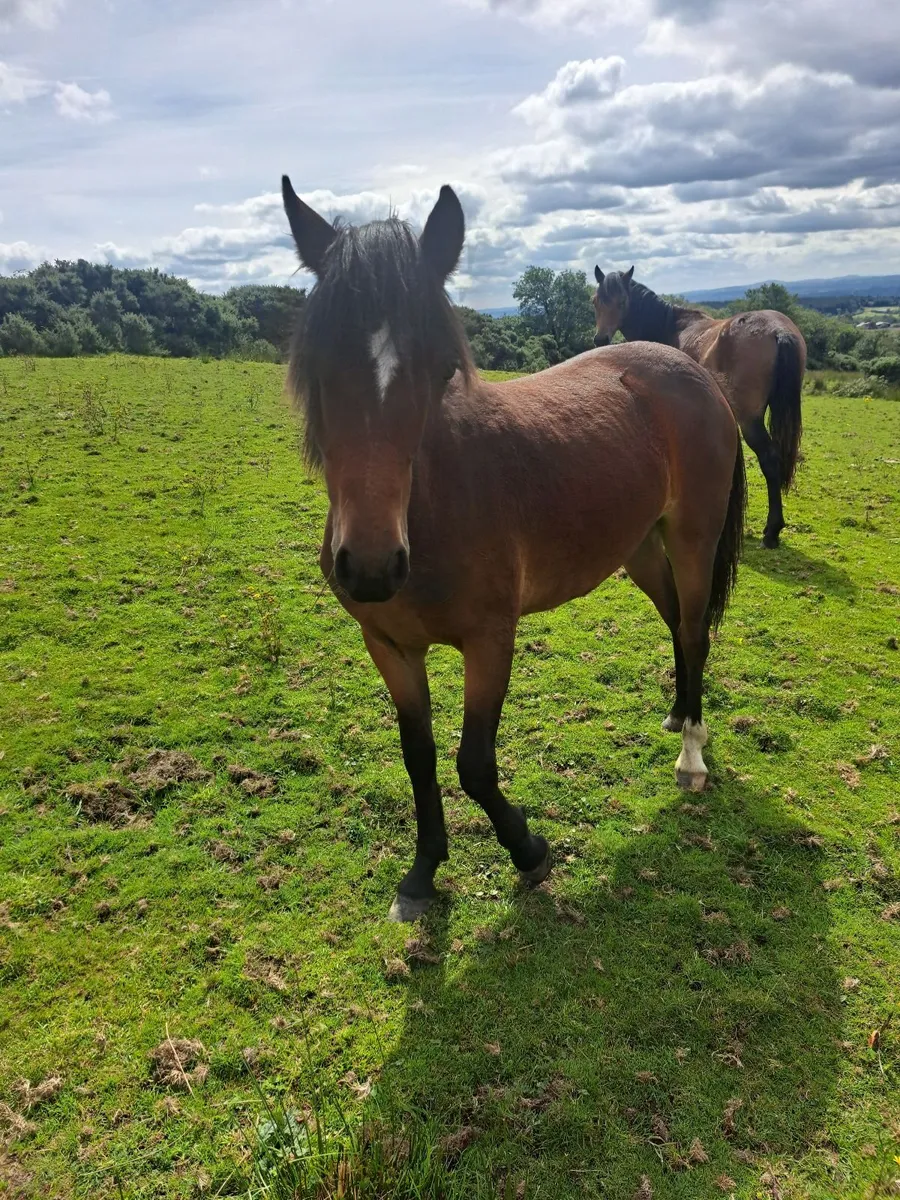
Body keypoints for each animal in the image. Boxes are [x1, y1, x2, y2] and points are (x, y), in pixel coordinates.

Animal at [282, 176, 746, 921]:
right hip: (640, 548)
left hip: (692, 538)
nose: (374, 566)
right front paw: (421, 874)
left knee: (697, 628)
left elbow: (473, 763)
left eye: (443, 368)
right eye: (317, 363)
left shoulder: (490, 640)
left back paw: (692, 756)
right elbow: (418, 756)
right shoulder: (388, 647)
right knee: (677, 621)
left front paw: (529, 852)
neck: (434, 503)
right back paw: (678, 713)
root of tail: (690, 369)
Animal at [592, 267, 805, 549]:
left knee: (769, 458)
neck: (667, 326)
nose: (601, 339)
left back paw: (771, 532)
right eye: (596, 301)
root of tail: (777, 331)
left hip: (750, 420)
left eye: (622, 302)